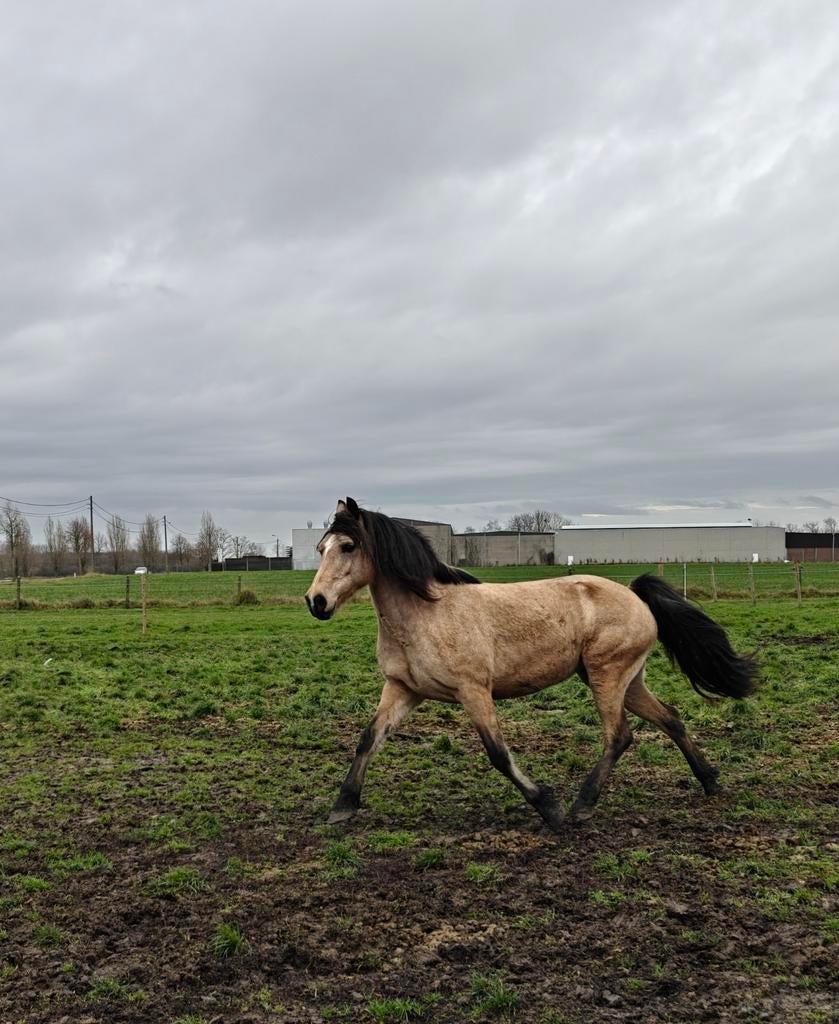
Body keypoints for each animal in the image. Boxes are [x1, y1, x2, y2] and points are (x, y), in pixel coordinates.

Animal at [305, 498, 758, 831]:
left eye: (348, 546)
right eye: (320, 548)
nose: (316, 602)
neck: (424, 614)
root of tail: (636, 596)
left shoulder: (474, 691)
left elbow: (498, 754)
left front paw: (548, 807)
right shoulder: (403, 689)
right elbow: (368, 739)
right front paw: (342, 806)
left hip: (607, 677)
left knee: (619, 736)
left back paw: (580, 807)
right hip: (627, 681)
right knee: (670, 718)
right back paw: (710, 781)